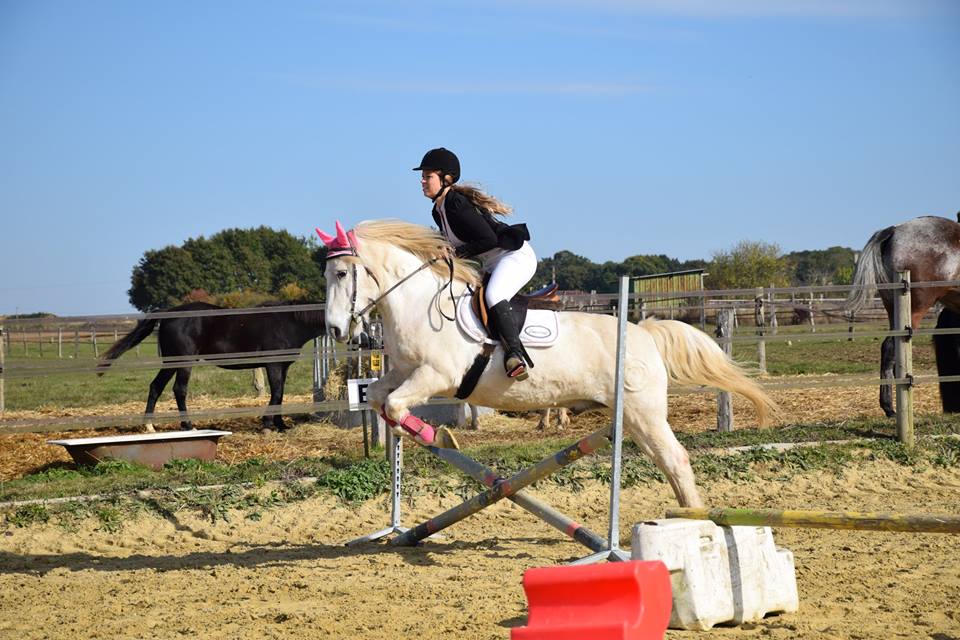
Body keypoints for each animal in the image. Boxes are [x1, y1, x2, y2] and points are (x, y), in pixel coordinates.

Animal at [98, 302, 326, 432]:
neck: (288, 320)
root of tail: (168, 313)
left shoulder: (283, 366)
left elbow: (281, 394)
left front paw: (280, 425)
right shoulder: (274, 364)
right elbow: (277, 393)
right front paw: (268, 424)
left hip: (171, 362)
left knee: (156, 387)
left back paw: (150, 426)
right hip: (183, 362)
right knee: (179, 390)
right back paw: (188, 426)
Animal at [318, 220, 776, 510]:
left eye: (341, 273)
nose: (337, 329)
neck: (418, 303)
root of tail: (645, 333)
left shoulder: (437, 376)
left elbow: (396, 406)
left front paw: (439, 436)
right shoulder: (404, 372)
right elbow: (379, 398)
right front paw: (416, 434)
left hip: (643, 414)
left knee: (676, 460)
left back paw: (694, 522)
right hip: (632, 418)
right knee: (667, 461)